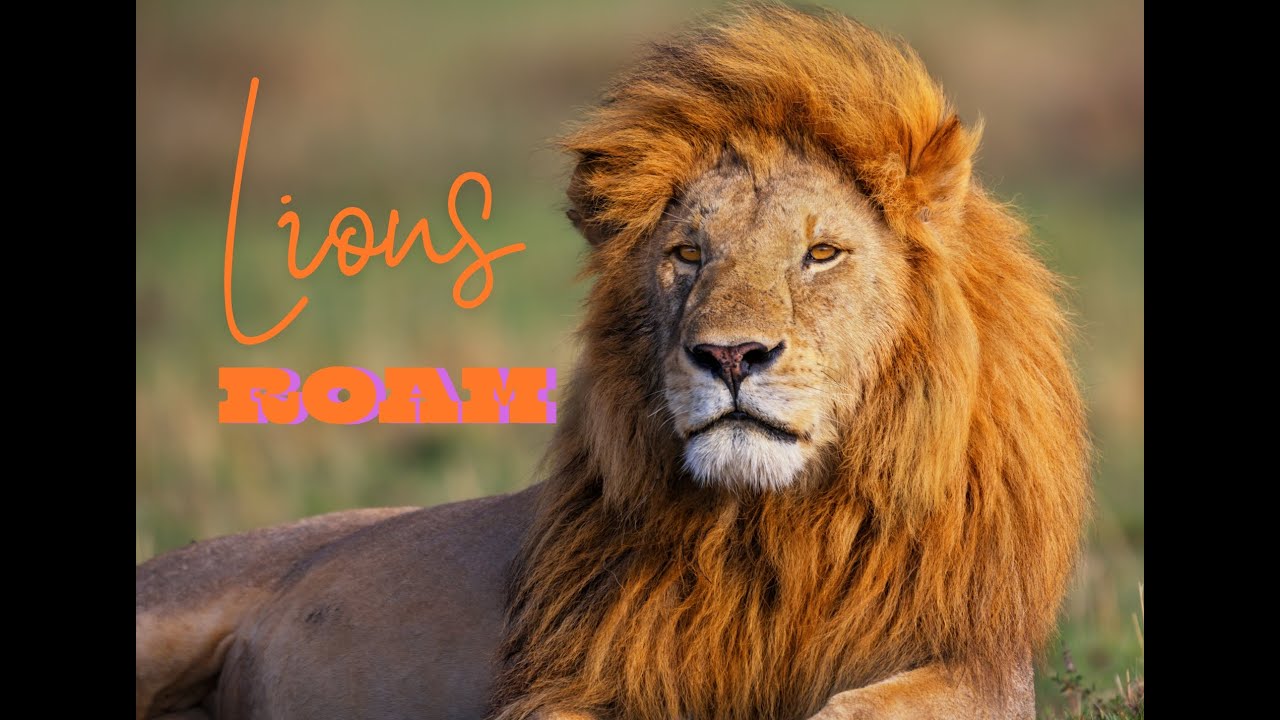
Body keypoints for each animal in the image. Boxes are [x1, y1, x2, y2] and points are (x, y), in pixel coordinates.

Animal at [135, 6, 1090, 719]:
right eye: (687, 254)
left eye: (821, 254)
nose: (730, 354)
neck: (772, 529)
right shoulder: (583, 673)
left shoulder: (975, 661)